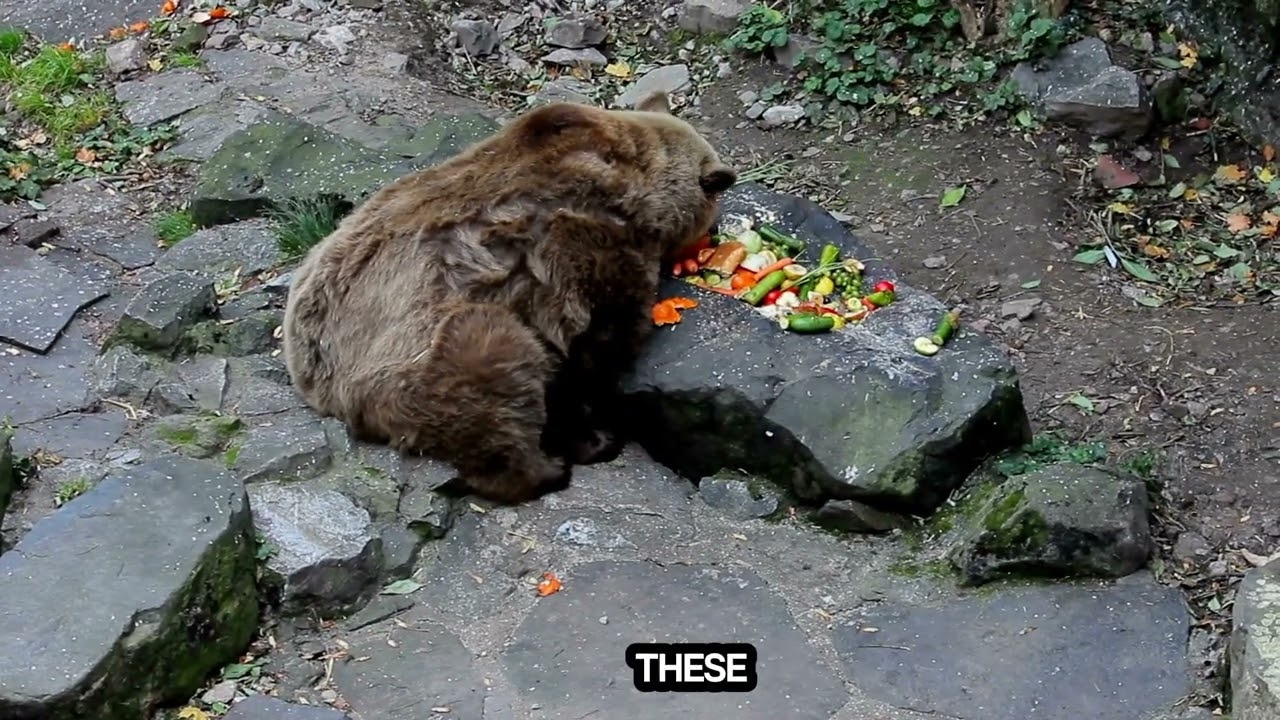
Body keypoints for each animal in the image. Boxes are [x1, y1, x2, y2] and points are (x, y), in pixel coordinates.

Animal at [281, 91, 736, 504]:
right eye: (715, 199)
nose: (715, 231)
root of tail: (322, 390)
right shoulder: (583, 250)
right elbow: (597, 348)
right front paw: (596, 428)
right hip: (428, 354)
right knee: (496, 381)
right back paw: (550, 468)